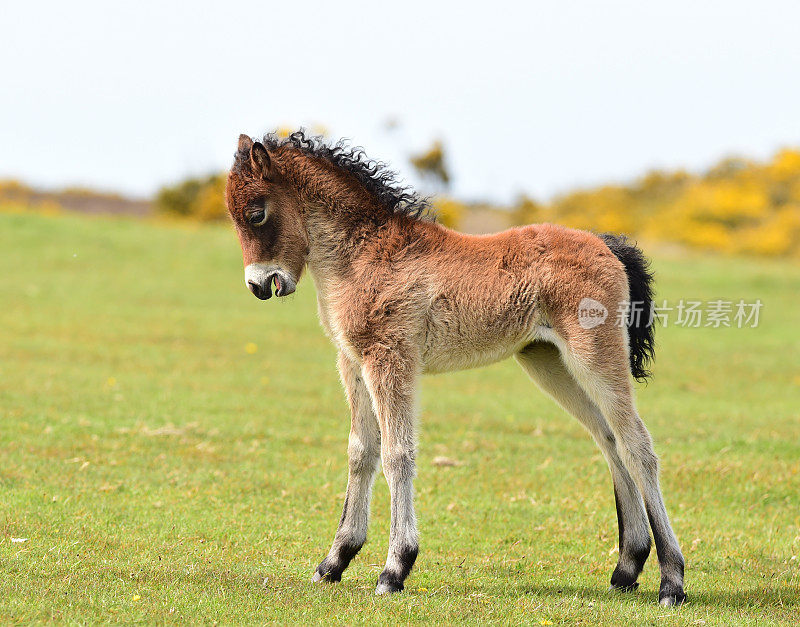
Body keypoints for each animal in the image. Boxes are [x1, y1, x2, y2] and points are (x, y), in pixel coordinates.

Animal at [225, 130, 688, 604]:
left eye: (256, 213)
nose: (259, 285)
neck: (365, 254)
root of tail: (605, 244)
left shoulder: (390, 359)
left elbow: (396, 454)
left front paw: (394, 569)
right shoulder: (353, 362)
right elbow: (360, 452)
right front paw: (334, 562)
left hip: (594, 355)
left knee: (637, 446)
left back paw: (671, 581)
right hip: (548, 363)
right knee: (609, 440)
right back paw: (627, 567)